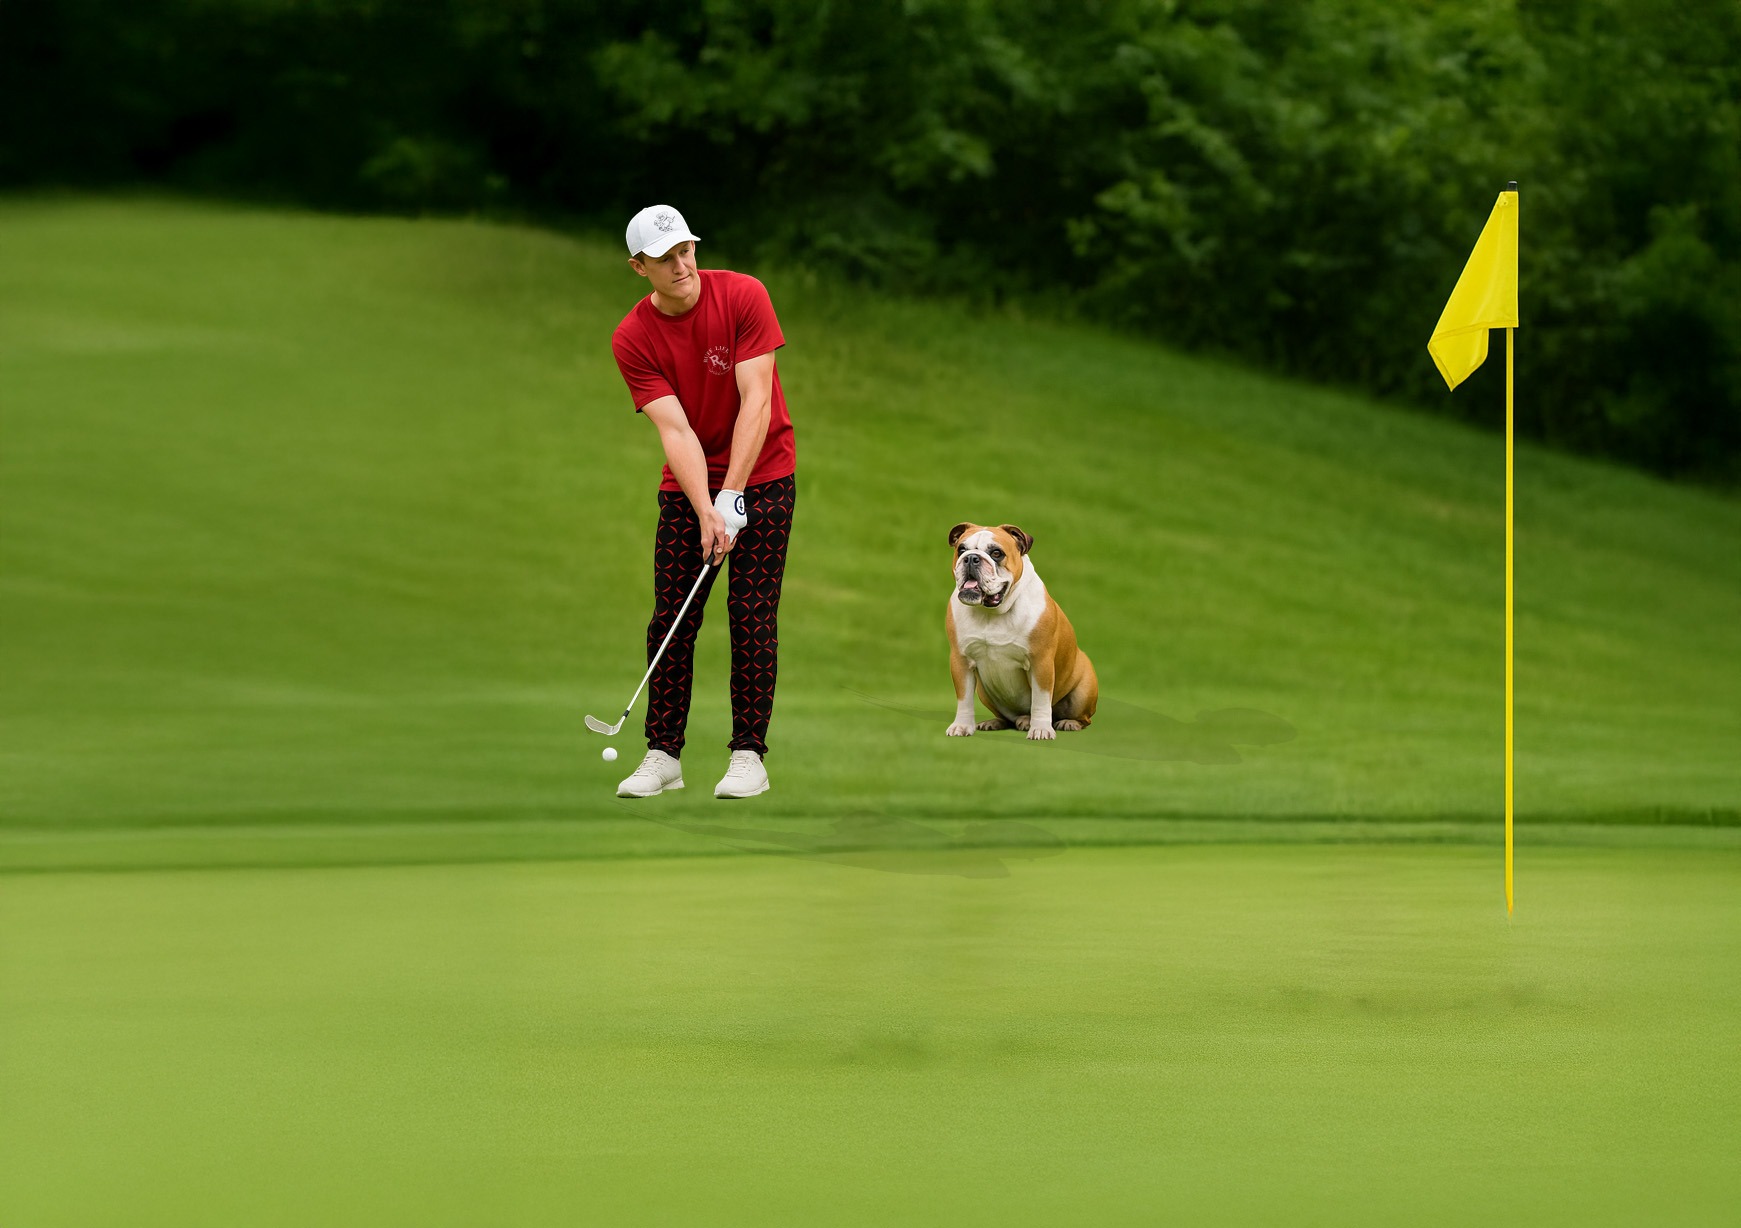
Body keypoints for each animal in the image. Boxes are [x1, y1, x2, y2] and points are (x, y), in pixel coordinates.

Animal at [945, 522, 1098, 740]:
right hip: (984, 692)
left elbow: (1041, 700)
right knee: (1007, 717)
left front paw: (1041, 729)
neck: (992, 612)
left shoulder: (1041, 663)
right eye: (961, 549)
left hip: (1083, 692)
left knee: (1082, 718)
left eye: (996, 553)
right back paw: (999, 722)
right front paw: (962, 725)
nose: (971, 558)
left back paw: (1066, 722)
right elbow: (964, 698)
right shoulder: (960, 661)